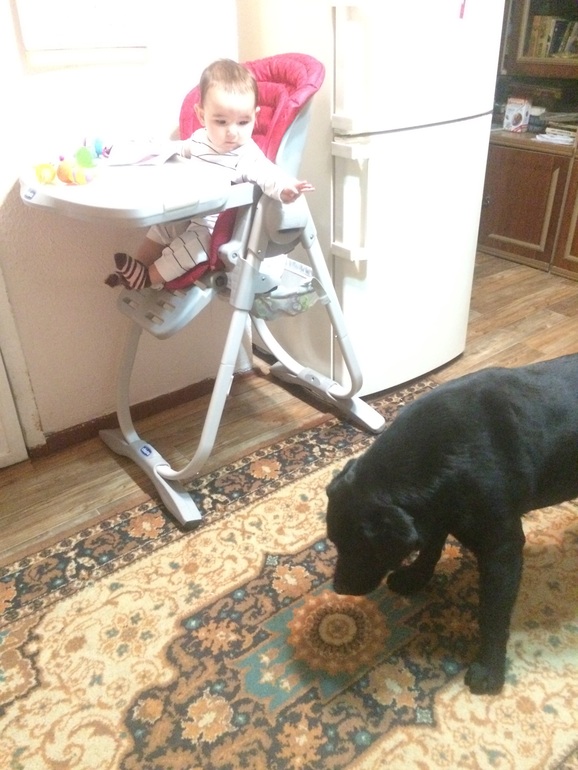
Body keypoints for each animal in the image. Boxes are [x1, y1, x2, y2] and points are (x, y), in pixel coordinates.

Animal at [326, 353, 578, 695]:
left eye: (362, 549)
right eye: (335, 543)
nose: (338, 588)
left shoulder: (502, 550)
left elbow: (492, 614)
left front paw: (489, 669)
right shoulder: (435, 512)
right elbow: (430, 548)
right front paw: (415, 577)